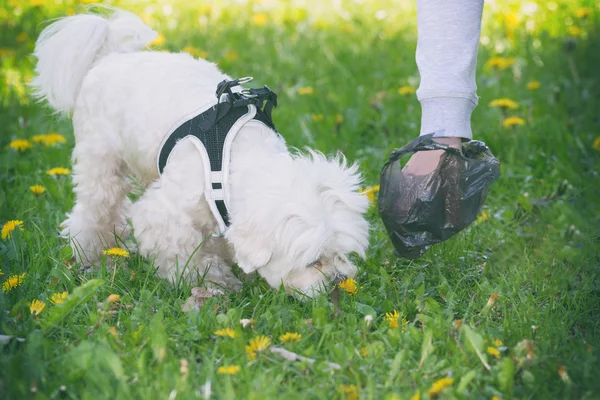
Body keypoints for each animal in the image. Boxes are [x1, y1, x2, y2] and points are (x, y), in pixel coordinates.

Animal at [34, 8, 370, 296]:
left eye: (342, 254)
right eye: (313, 262)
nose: (339, 281)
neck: (233, 159)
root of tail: (110, 56)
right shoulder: (164, 214)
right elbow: (186, 254)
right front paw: (212, 282)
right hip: (100, 162)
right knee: (95, 209)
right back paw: (91, 255)